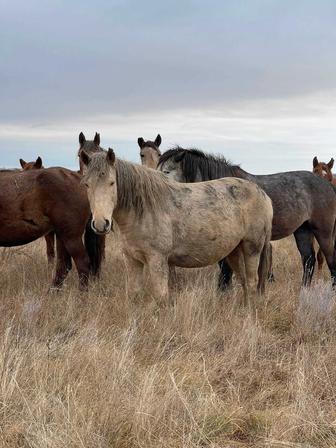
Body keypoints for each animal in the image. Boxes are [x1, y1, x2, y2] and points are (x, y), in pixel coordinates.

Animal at [79, 149, 272, 306]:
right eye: (86, 184)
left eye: (112, 183)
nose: (101, 223)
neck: (144, 209)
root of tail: (263, 194)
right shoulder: (133, 260)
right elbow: (134, 294)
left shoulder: (157, 260)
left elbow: (161, 297)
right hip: (234, 251)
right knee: (243, 281)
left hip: (252, 248)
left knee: (252, 281)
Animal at [158, 147, 336, 288]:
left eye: (166, 171)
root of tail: (327, 184)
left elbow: (225, 271)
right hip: (302, 230)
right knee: (308, 260)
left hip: (323, 231)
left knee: (329, 258)